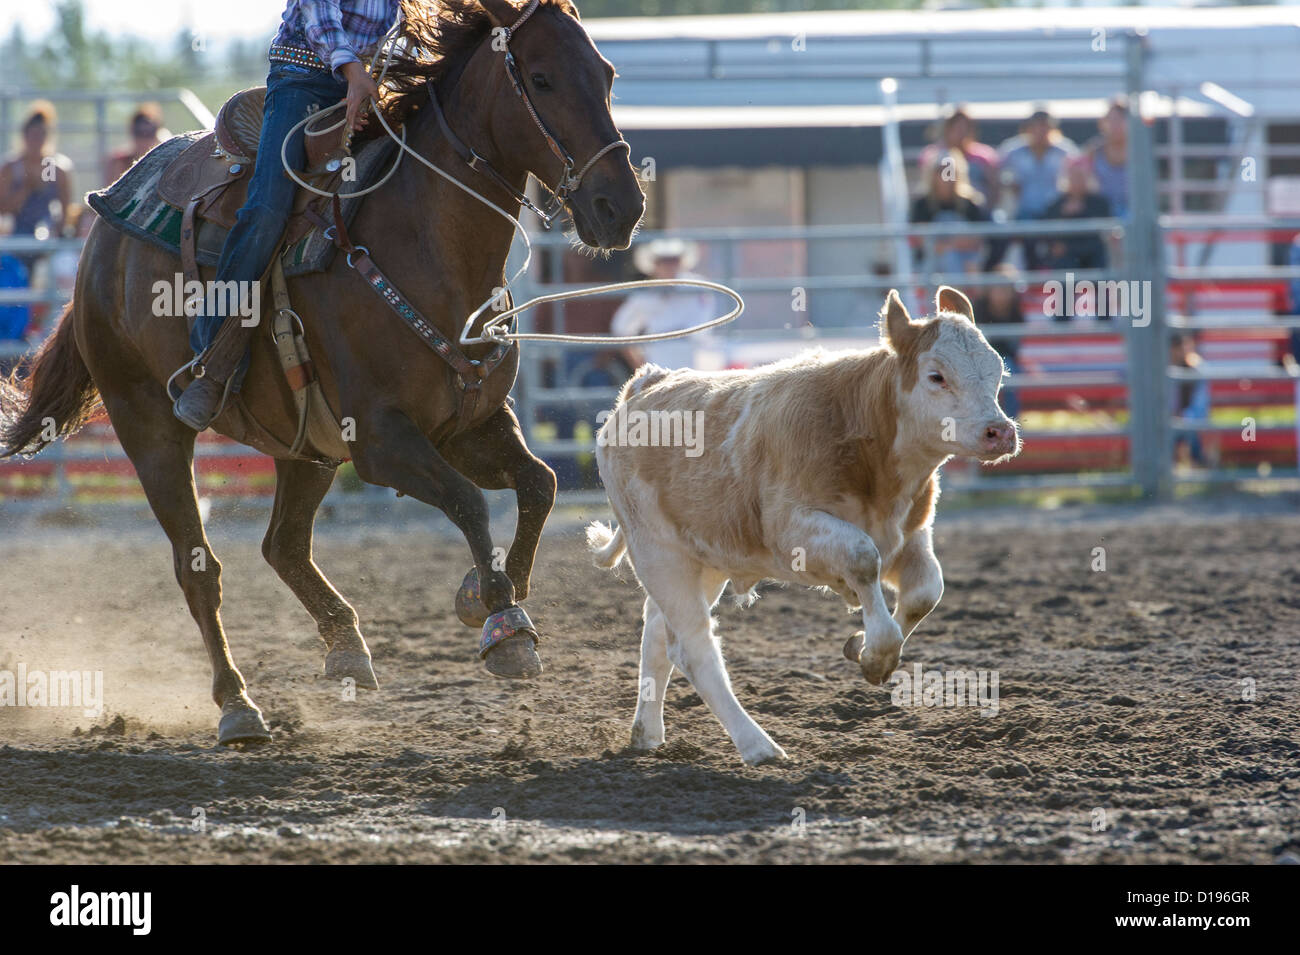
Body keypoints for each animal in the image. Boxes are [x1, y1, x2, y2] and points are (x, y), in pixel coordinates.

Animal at [0, 0, 644, 748]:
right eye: (540, 79)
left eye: (607, 74)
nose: (622, 208)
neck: (428, 246)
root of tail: (102, 231)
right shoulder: (381, 440)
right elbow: (469, 502)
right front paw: (501, 623)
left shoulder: (470, 425)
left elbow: (539, 485)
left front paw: (488, 597)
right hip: (149, 427)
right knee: (199, 569)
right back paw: (238, 705)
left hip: (303, 444)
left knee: (283, 545)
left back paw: (346, 649)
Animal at [585, 287, 1019, 764]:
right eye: (936, 376)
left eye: (997, 370)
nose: (999, 432)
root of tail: (644, 384)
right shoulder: (794, 532)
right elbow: (862, 557)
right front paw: (877, 651)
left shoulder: (908, 535)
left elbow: (926, 590)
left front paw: (861, 646)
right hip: (658, 553)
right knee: (693, 649)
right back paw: (758, 745)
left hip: (703, 558)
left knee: (658, 638)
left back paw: (647, 734)